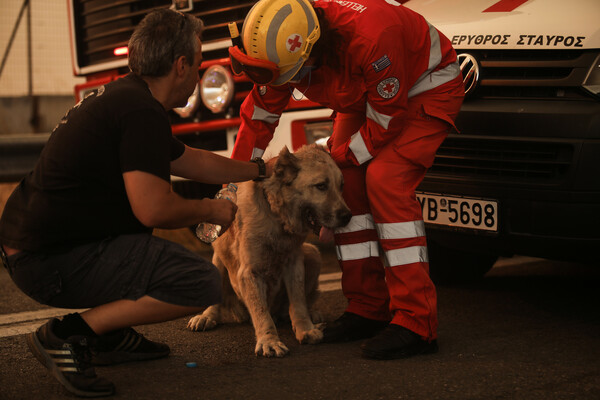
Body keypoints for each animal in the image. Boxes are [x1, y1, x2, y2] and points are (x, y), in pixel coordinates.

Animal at [188, 144, 352, 356]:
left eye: (341, 185)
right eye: (321, 186)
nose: (348, 216)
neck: (276, 216)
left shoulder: (294, 264)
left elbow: (298, 302)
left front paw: (305, 328)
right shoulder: (249, 273)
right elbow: (261, 312)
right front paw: (269, 340)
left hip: (313, 254)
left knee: (293, 305)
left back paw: (310, 315)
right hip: (217, 259)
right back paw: (206, 316)